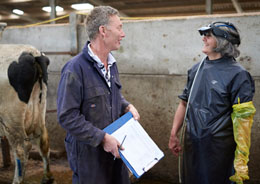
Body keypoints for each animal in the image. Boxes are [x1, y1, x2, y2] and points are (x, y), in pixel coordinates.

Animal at [0, 44, 54, 184]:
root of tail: (32, 53)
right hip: (40, 112)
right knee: (43, 141)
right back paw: (47, 178)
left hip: (11, 118)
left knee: (22, 148)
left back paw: (17, 180)